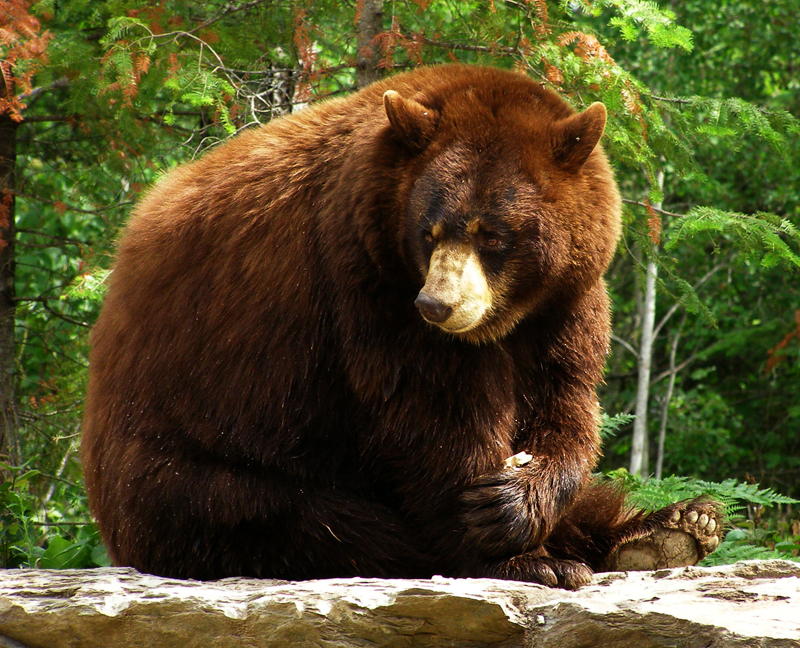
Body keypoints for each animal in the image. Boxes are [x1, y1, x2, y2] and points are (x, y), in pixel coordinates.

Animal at [83, 64, 724, 588]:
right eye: (429, 230)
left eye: (493, 233)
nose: (437, 305)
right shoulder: (365, 281)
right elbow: (425, 414)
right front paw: (517, 553)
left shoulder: (564, 301)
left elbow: (563, 398)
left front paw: (515, 503)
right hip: (189, 465)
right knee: (317, 524)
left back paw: (674, 527)